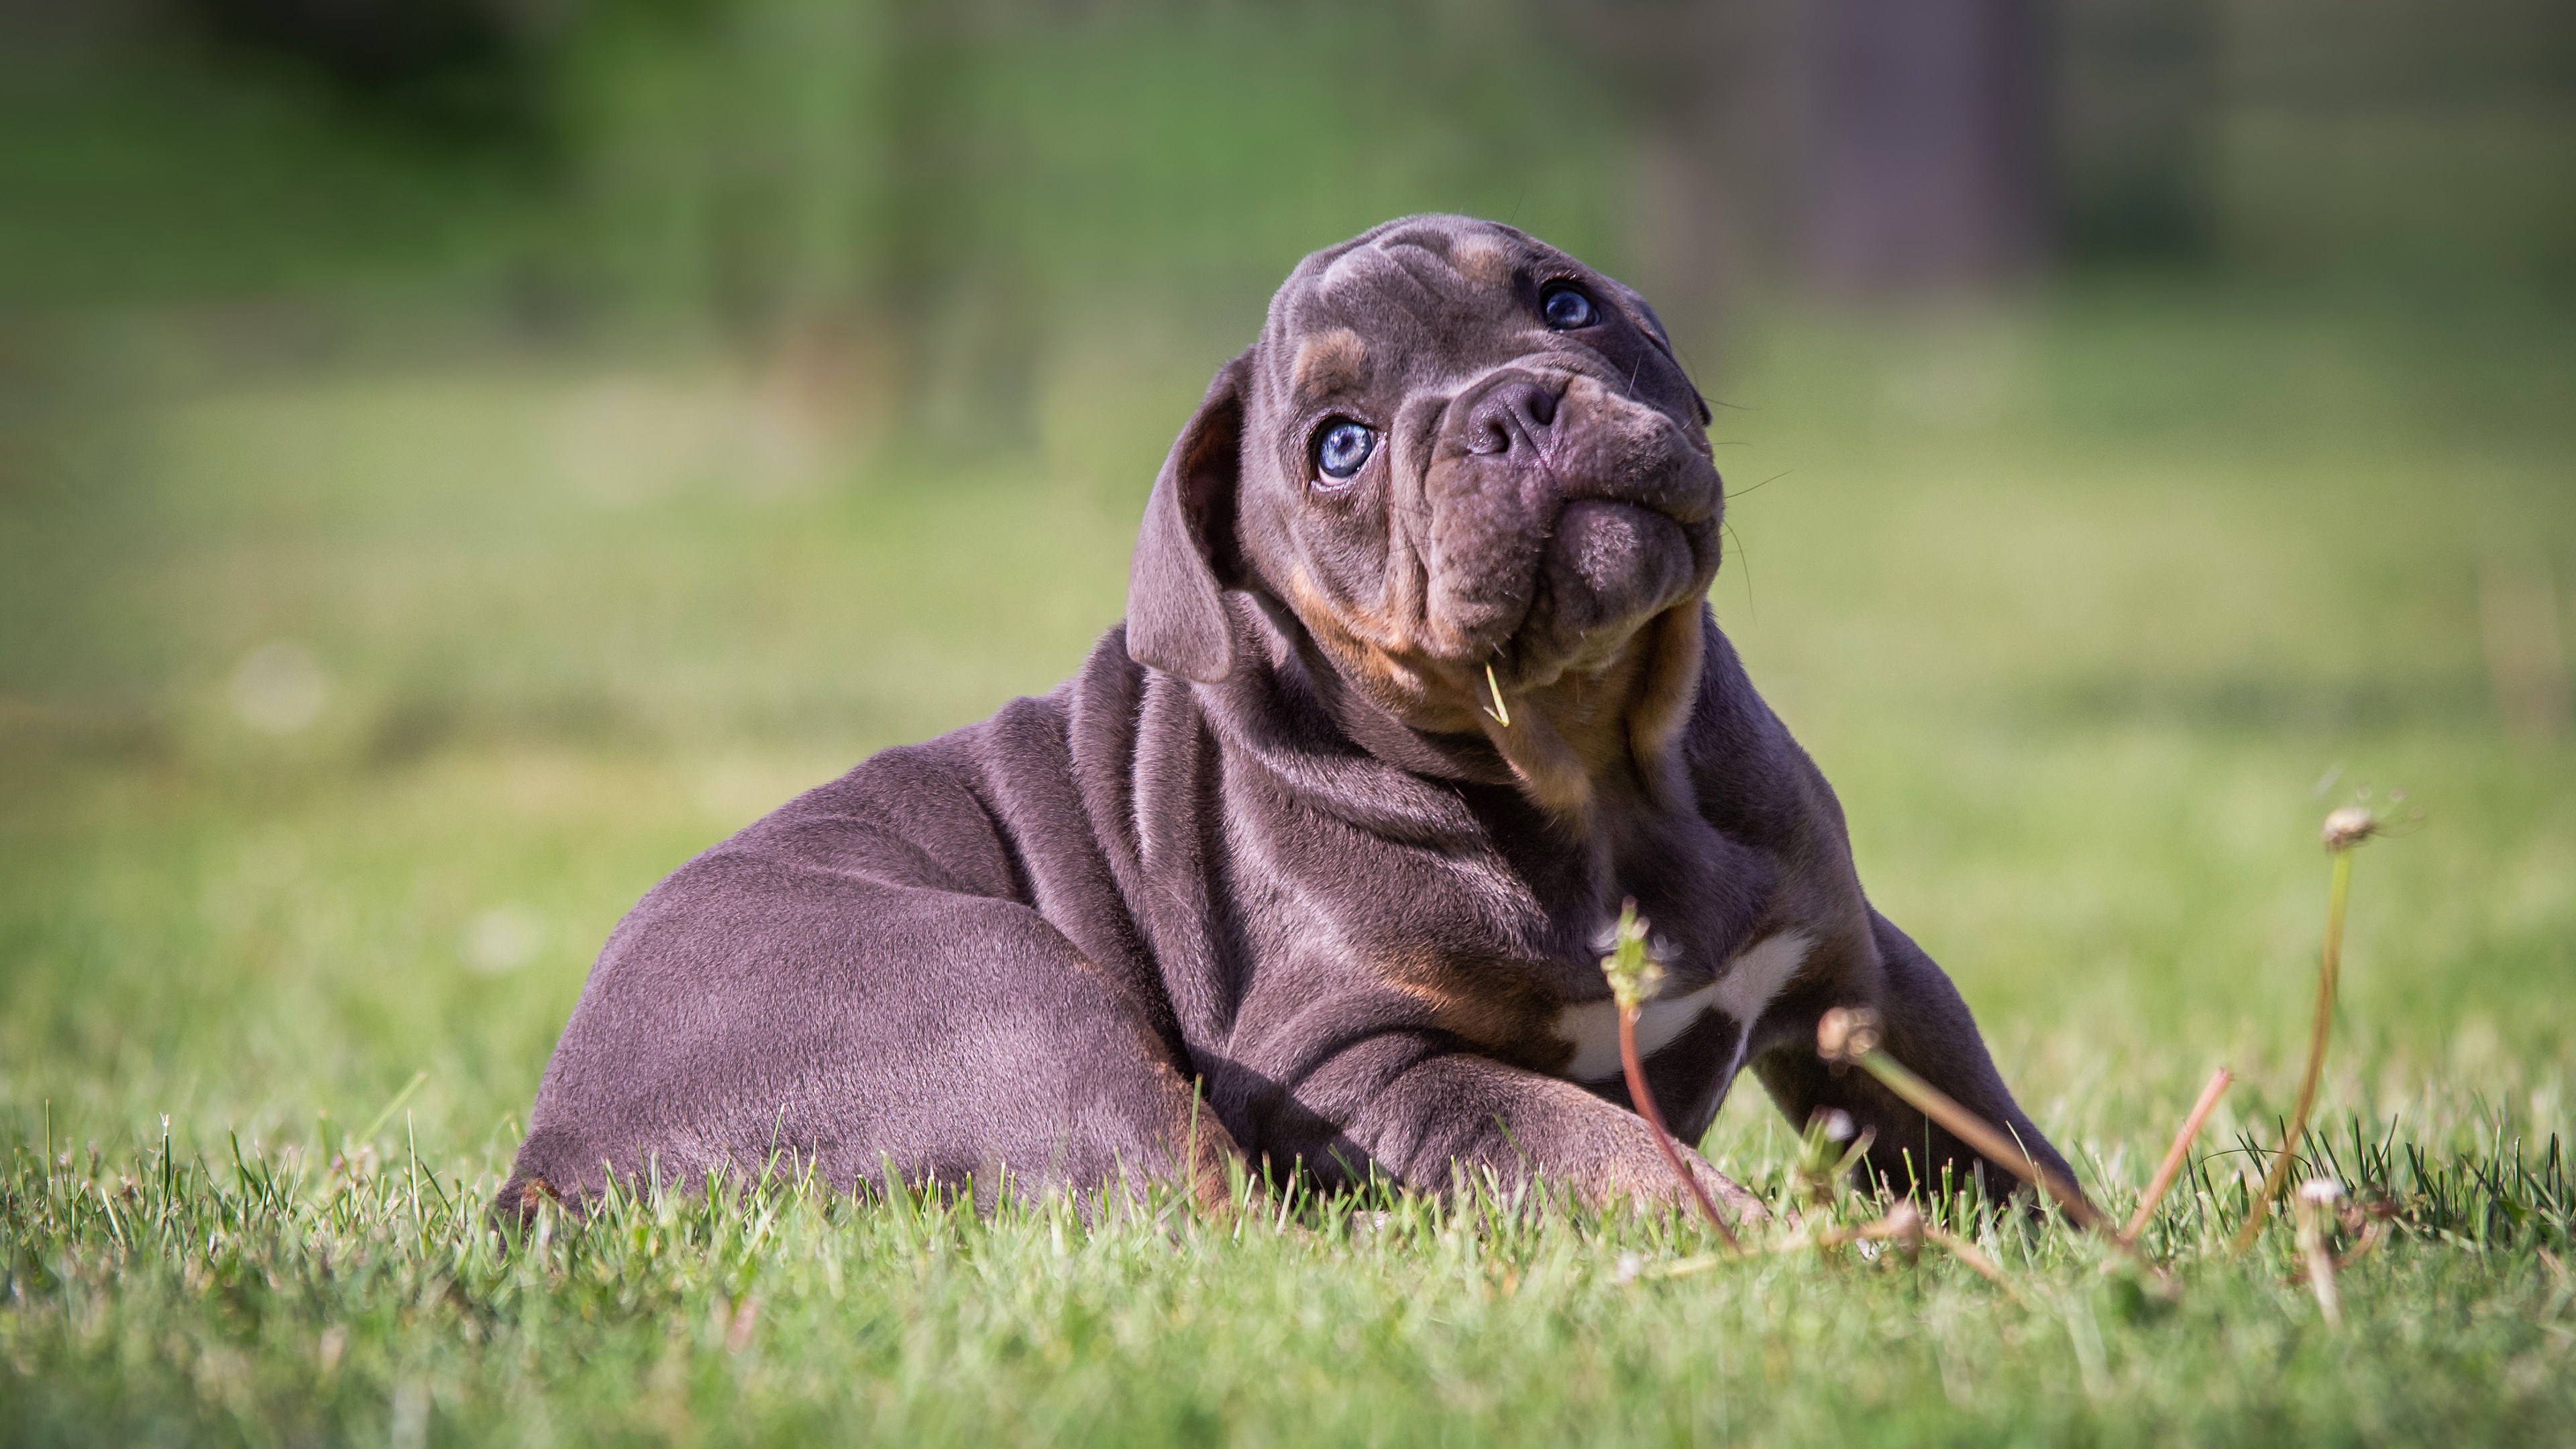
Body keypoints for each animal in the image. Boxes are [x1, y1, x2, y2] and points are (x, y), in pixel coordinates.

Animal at [497, 211, 2071, 1206]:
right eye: (1340, 449)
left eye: (1563, 301)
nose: (1513, 408)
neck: (1596, 770)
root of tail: (554, 1150)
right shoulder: (1365, 1063)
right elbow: (1608, 1151)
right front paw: (1767, 1253)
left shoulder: (1857, 974)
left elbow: (1993, 1133)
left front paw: (2091, 1264)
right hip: (1010, 995)